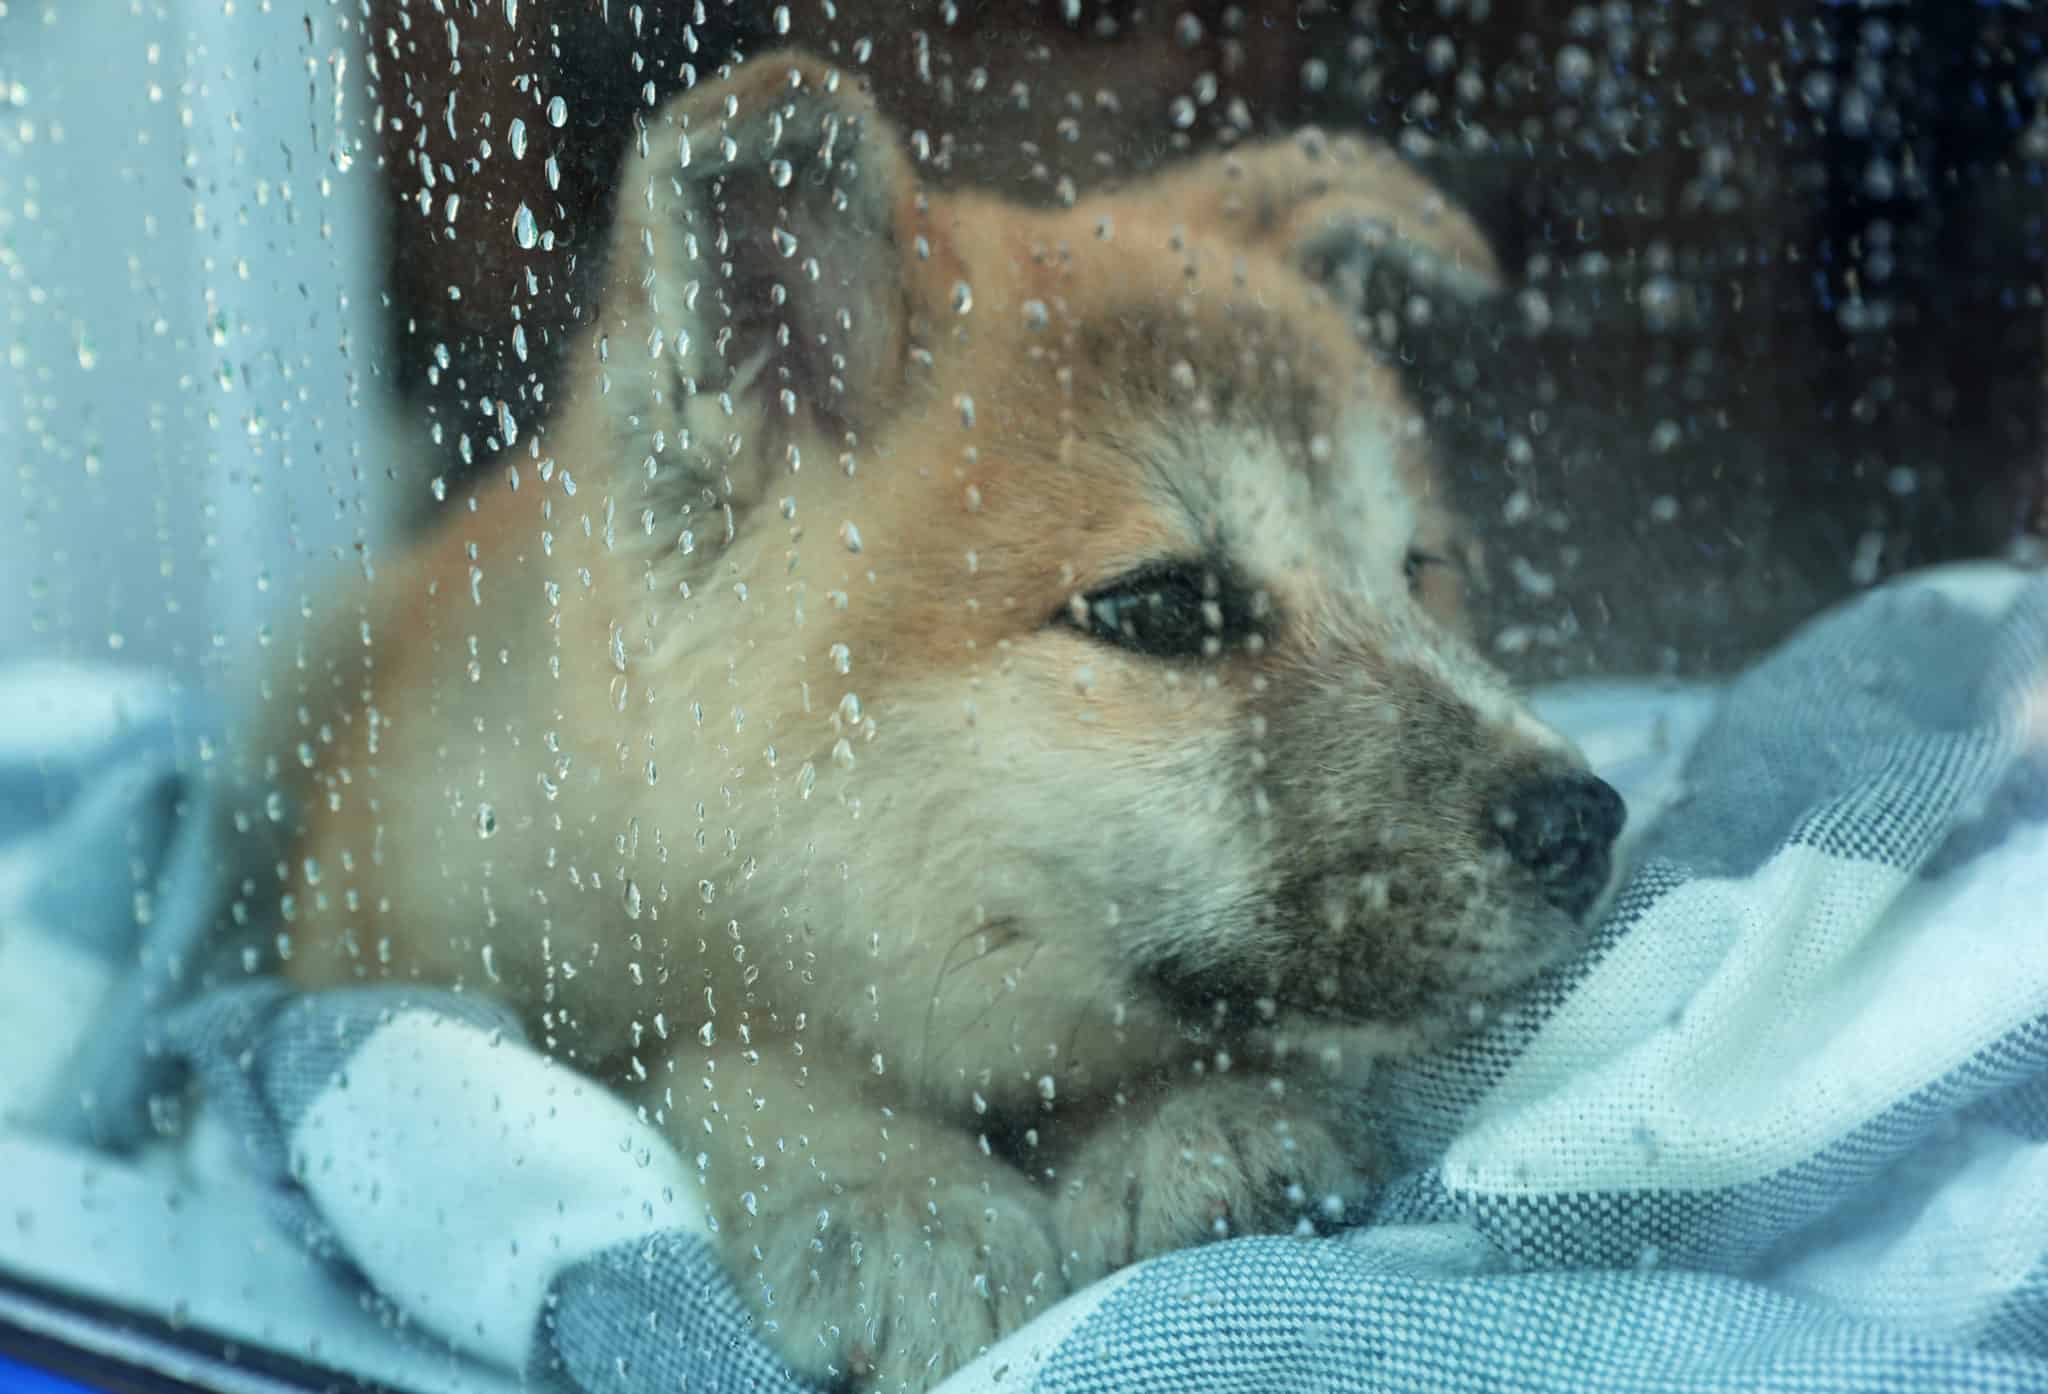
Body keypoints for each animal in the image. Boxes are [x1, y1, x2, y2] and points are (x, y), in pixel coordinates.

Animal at [264, 48, 1622, 1383]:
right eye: (1162, 607)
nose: (1582, 821)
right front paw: (895, 1198)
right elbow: (723, 1065)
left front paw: (1194, 1117)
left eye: (1418, 570)